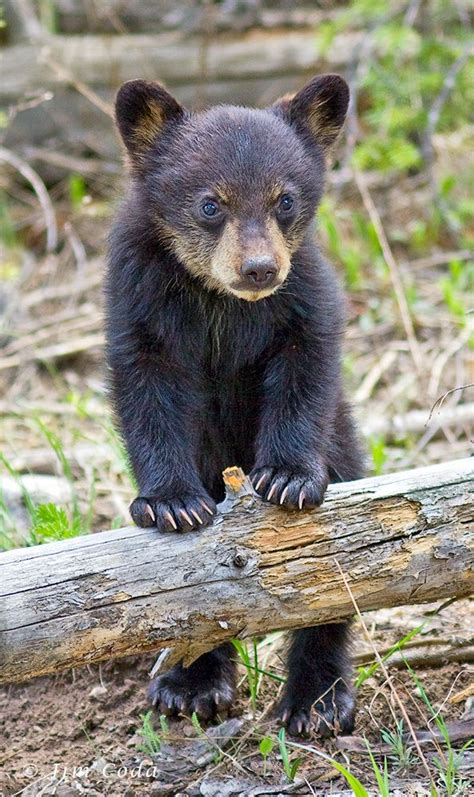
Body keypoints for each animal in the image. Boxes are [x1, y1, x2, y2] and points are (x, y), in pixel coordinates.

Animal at [105, 74, 364, 740]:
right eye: (210, 204)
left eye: (285, 200)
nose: (259, 269)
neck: (218, 304)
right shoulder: (140, 294)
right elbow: (147, 384)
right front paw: (171, 503)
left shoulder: (303, 291)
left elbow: (305, 363)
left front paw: (289, 478)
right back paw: (189, 686)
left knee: (335, 585)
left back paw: (318, 699)